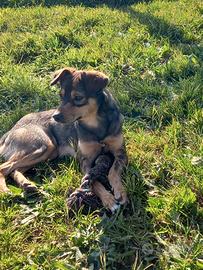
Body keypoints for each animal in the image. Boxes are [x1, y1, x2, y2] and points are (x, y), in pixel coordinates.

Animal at [0, 67, 127, 211]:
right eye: (61, 96)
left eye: (78, 98)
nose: (55, 116)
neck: (95, 124)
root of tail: (10, 130)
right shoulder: (84, 160)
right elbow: (94, 183)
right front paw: (108, 200)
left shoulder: (121, 153)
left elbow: (113, 172)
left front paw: (120, 192)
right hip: (43, 146)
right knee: (4, 167)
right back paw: (5, 191)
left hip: (46, 152)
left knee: (14, 170)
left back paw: (26, 184)